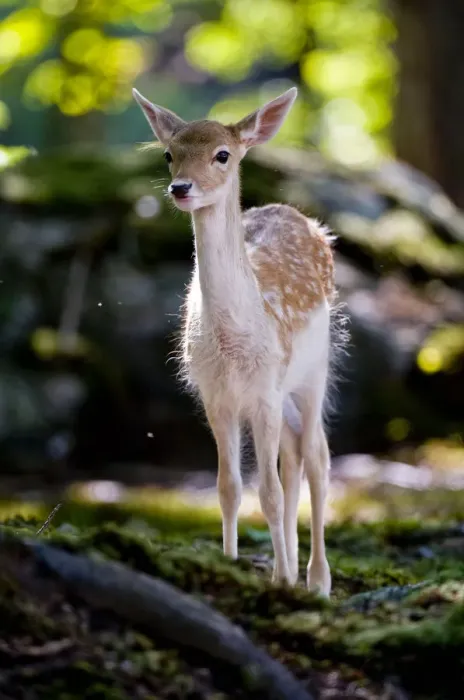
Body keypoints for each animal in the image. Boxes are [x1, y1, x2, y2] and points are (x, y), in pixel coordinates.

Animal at [133, 85, 342, 597]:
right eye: (169, 154)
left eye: (222, 154)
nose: (181, 188)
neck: (233, 345)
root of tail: (303, 218)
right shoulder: (216, 395)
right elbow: (229, 487)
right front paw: (230, 565)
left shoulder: (265, 390)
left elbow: (267, 490)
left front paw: (283, 579)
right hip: (281, 394)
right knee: (293, 456)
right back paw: (291, 569)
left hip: (314, 370)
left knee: (316, 456)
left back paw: (316, 579)